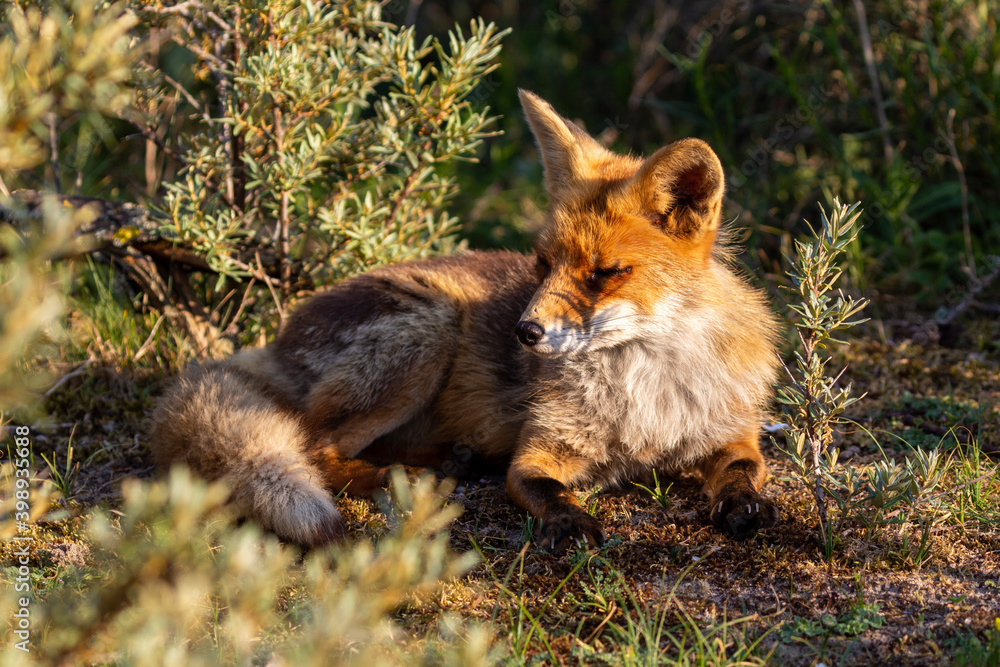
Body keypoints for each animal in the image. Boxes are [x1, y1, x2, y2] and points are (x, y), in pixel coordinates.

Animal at [149, 90, 781, 553]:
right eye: (542, 264)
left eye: (604, 274)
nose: (524, 334)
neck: (645, 393)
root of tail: (275, 341)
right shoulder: (539, 451)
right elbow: (542, 488)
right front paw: (571, 522)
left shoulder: (730, 431)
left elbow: (744, 469)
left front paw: (743, 505)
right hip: (431, 328)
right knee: (314, 445)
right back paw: (399, 477)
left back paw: (449, 459)